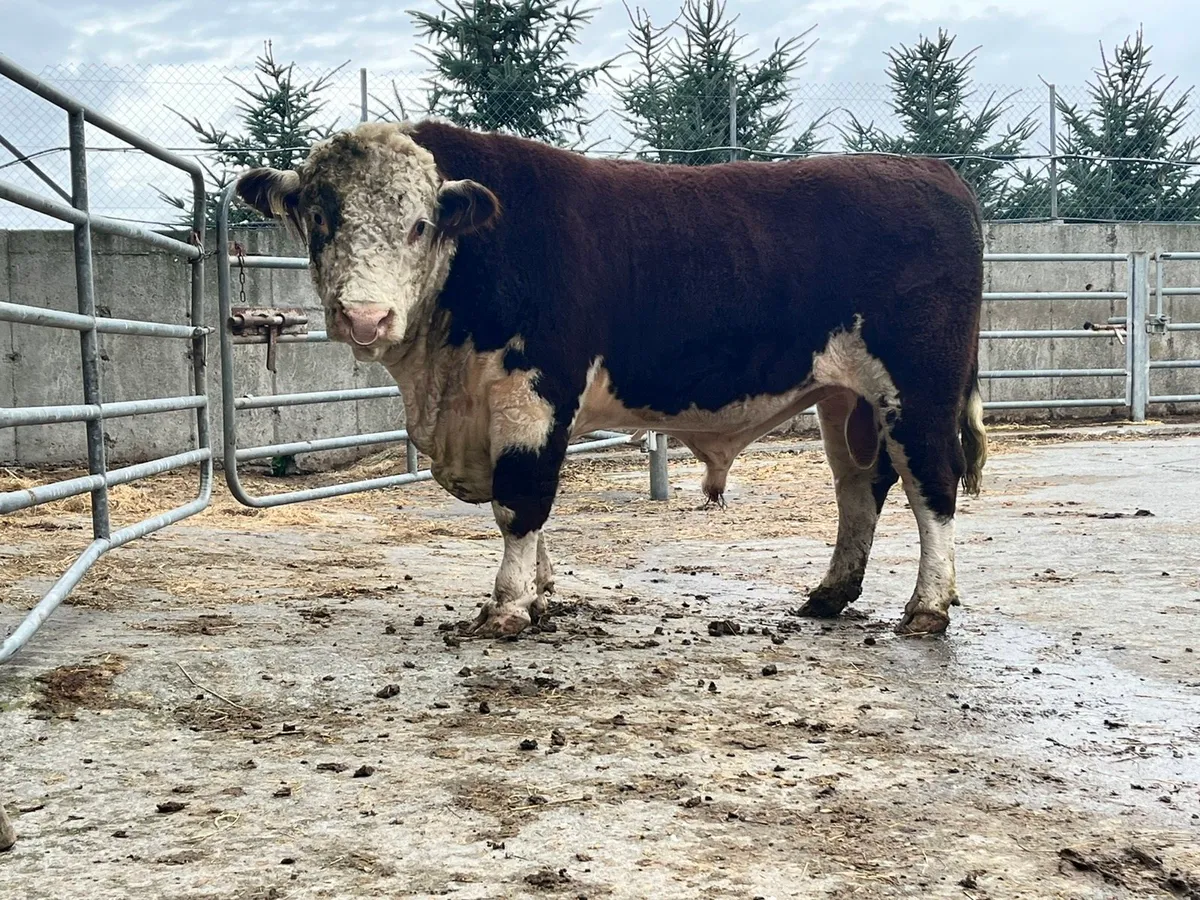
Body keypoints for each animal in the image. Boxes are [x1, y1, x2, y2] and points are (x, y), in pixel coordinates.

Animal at [235, 120, 987, 639]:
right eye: (320, 220)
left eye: (419, 225)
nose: (365, 316)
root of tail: (934, 172)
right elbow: (531, 510)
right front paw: (540, 593)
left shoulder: (533, 390)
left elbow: (520, 500)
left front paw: (508, 606)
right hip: (844, 396)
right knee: (859, 487)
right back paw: (829, 595)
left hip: (918, 387)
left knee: (932, 485)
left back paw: (926, 608)